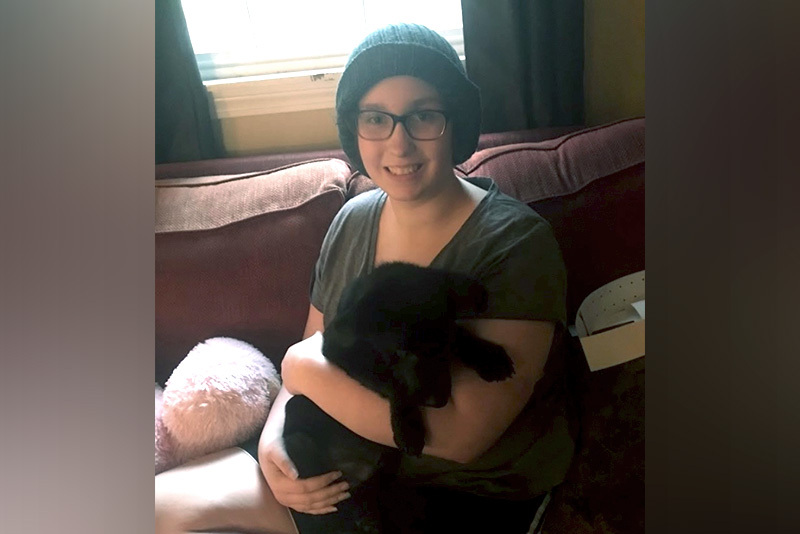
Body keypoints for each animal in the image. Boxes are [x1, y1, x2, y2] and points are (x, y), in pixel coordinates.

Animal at [284, 264, 516, 534]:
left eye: (444, 347)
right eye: (402, 351)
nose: (439, 401)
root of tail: (358, 471)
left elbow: (461, 334)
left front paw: (489, 357)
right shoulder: (340, 353)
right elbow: (391, 383)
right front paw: (409, 427)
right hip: (300, 439)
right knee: (341, 498)